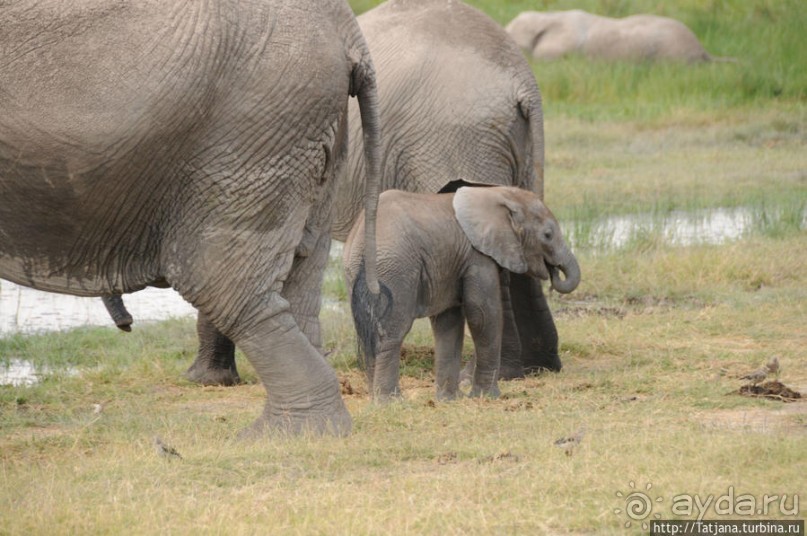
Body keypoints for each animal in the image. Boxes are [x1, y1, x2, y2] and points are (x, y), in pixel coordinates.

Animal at [0, 0, 386, 436]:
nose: (127, 325)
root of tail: (348, 31)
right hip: (314, 136)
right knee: (301, 272)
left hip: (252, 134)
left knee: (225, 286)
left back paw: (279, 435)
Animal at [344, 186, 576, 400]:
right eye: (547, 235)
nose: (553, 273)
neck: (499, 194)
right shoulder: (477, 257)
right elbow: (482, 314)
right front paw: (487, 397)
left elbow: (449, 322)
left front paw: (449, 400)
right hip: (395, 268)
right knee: (392, 331)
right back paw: (390, 403)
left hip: (357, 270)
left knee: (369, 333)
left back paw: (376, 400)